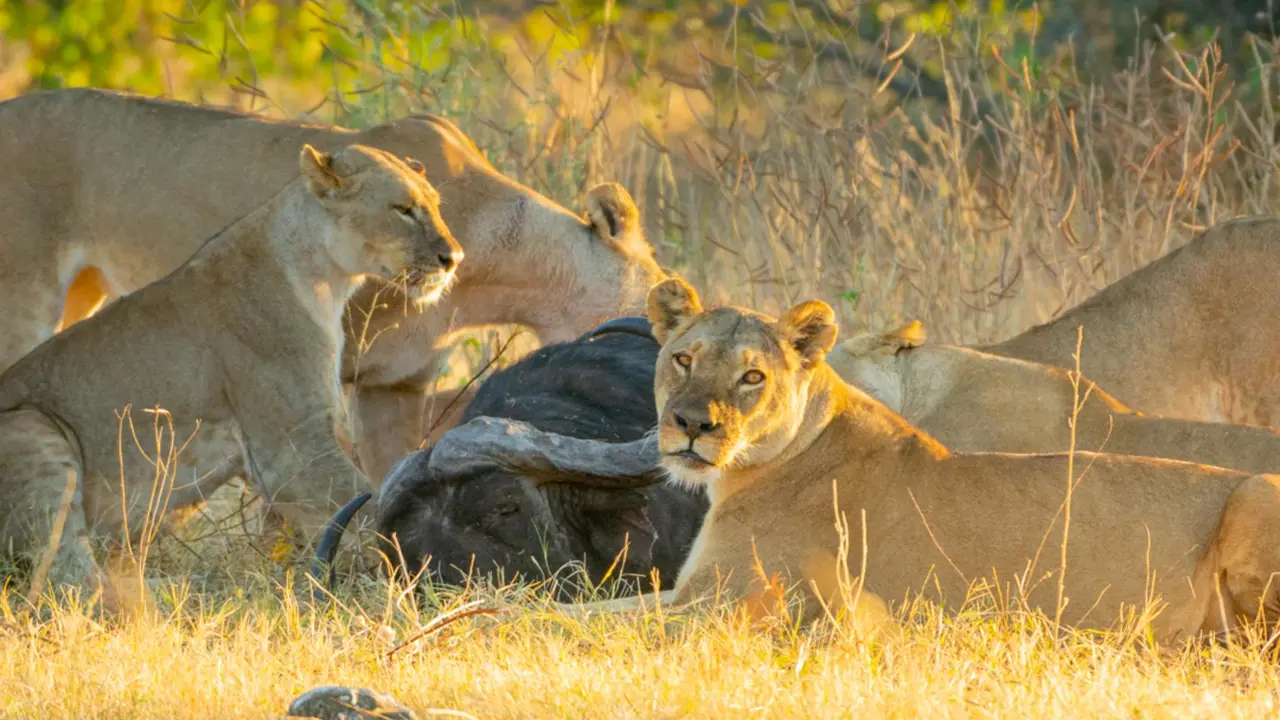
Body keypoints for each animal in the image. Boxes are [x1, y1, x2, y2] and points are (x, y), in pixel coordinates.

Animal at [0, 141, 460, 609]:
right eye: (403, 209)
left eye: (436, 206)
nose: (454, 258)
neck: (325, 280)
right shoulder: (291, 450)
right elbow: (367, 508)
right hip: (31, 426)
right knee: (67, 580)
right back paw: (185, 593)